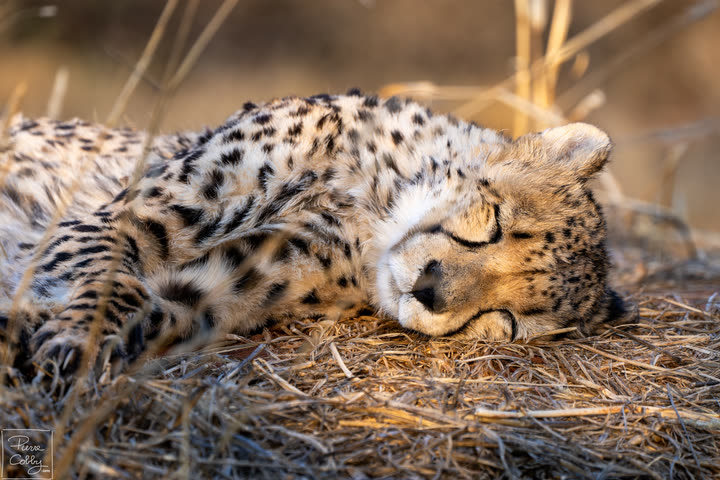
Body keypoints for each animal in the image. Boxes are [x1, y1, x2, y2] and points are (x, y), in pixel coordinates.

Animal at [0, 91, 624, 379]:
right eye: (494, 223)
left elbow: (157, 304)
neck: (370, 205)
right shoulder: (136, 214)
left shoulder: (223, 289)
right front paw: (75, 337)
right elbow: (113, 276)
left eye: (506, 321)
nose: (429, 291)